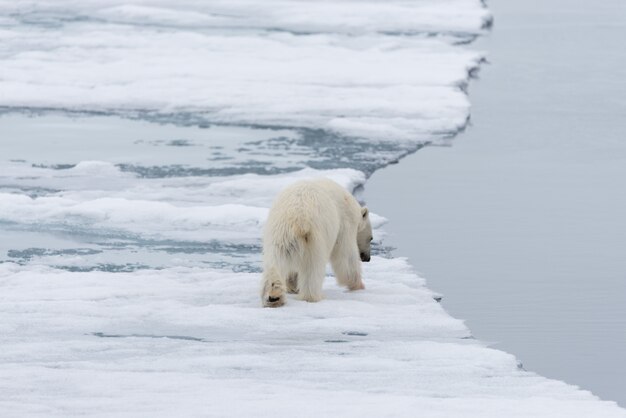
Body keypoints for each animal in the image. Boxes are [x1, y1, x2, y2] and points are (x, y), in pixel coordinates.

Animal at [260, 178, 370, 308]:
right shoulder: (345, 223)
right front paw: (358, 285)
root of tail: (299, 219)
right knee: (313, 269)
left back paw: (273, 297)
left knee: (275, 262)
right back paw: (312, 297)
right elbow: (346, 256)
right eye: (371, 238)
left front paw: (293, 286)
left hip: (279, 236)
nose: (367, 258)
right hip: (315, 239)